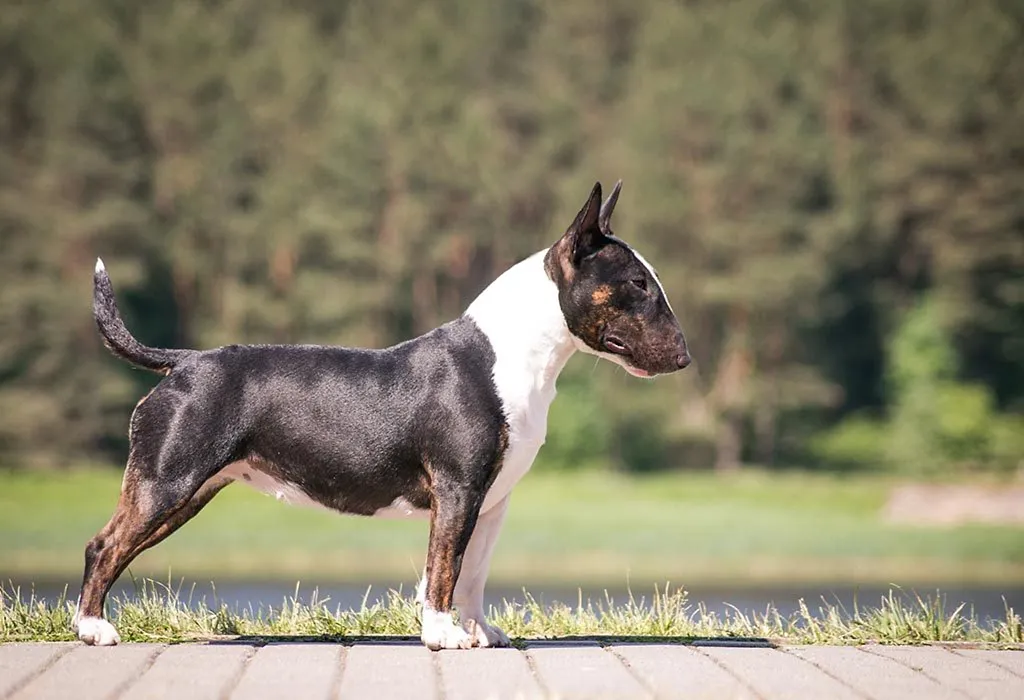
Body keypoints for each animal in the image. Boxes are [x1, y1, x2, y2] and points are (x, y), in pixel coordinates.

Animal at [75, 180, 692, 650]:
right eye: (637, 283)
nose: (685, 356)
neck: (515, 353)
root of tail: (184, 361)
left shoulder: (493, 500)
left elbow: (475, 572)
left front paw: (480, 632)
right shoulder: (457, 489)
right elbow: (443, 568)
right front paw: (443, 635)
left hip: (186, 491)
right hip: (166, 481)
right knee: (104, 546)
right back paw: (93, 629)